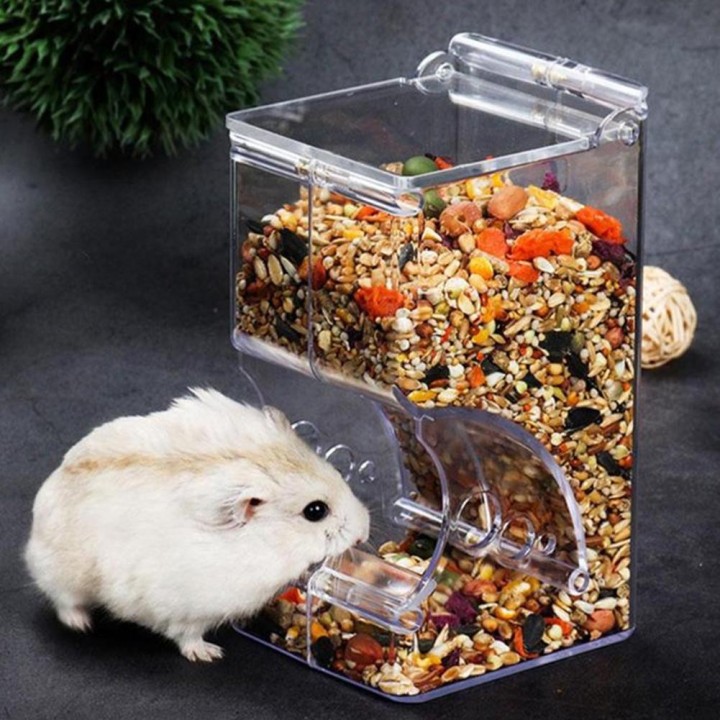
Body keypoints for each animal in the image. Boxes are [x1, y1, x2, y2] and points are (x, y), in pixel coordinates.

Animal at [25, 388, 370, 662]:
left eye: (337, 473)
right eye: (315, 511)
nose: (364, 531)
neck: (266, 544)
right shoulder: (188, 608)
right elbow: (186, 635)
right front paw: (210, 654)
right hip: (62, 573)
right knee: (62, 599)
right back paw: (80, 624)